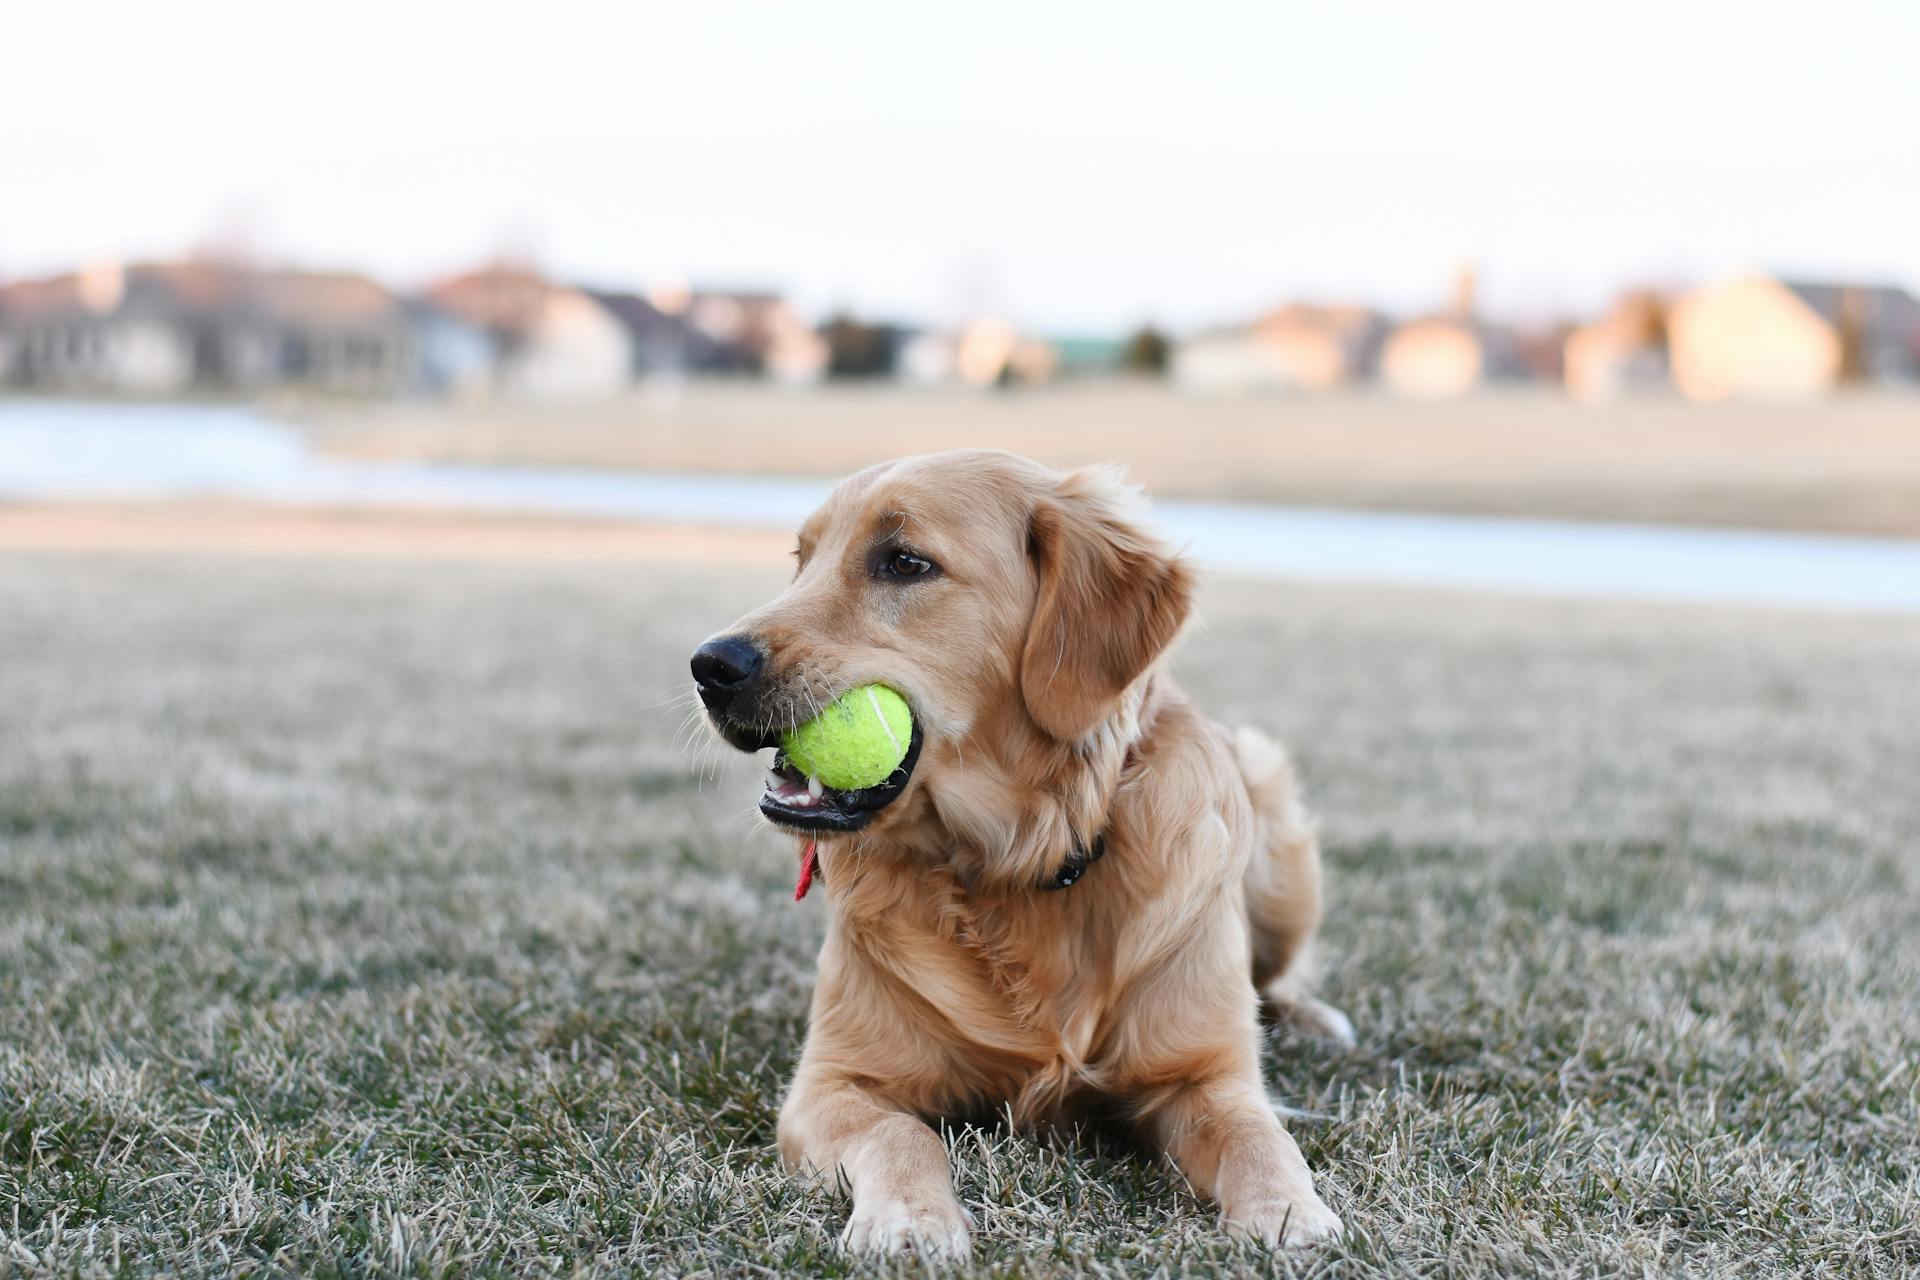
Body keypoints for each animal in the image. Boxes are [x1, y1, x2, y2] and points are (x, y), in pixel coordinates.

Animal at [691, 452, 1351, 1258]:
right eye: (802, 560)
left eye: (904, 562)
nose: (708, 666)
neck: (1017, 863)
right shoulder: (834, 1082)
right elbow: (902, 1136)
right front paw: (911, 1217)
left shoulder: (1207, 1076)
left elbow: (1259, 1136)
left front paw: (1289, 1213)